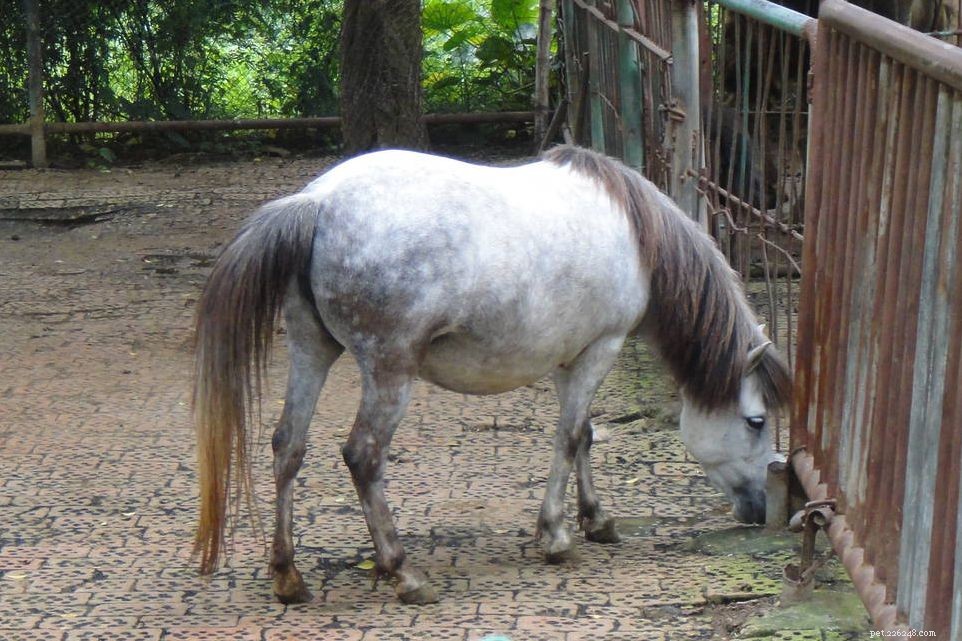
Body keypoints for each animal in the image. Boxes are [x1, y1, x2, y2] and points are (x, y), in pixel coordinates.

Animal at [192, 145, 793, 605]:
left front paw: (596, 520)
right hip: (390, 371)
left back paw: (288, 577)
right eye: (757, 421)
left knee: (288, 446)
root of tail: (317, 202)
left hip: (311, 350)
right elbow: (569, 437)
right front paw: (556, 537)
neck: (635, 233)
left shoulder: (569, 357)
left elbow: (584, 436)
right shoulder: (601, 348)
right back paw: (403, 572)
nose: (761, 509)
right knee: (363, 456)